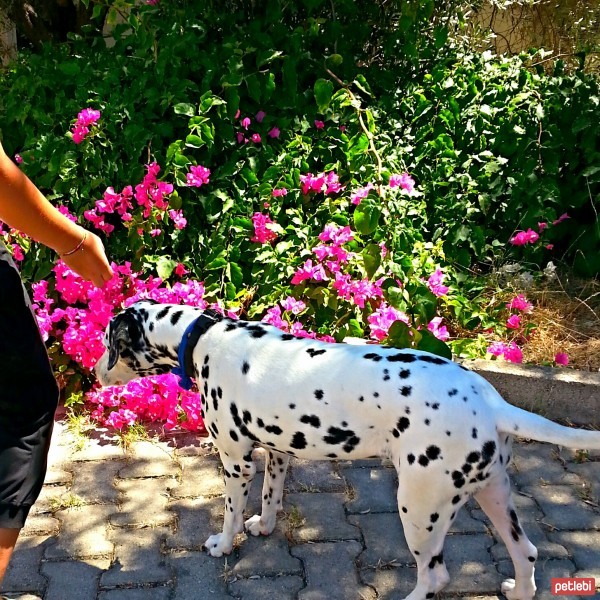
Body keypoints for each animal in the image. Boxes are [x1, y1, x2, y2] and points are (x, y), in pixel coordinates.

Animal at [95, 300, 600, 600]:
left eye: (108, 344)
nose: (95, 373)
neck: (205, 339)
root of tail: (491, 401)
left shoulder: (236, 463)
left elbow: (231, 513)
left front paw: (223, 543)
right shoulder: (278, 454)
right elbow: (270, 499)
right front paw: (264, 525)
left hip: (419, 511)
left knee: (435, 577)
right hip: (494, 495)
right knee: (527, 552)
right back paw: (519, 589)